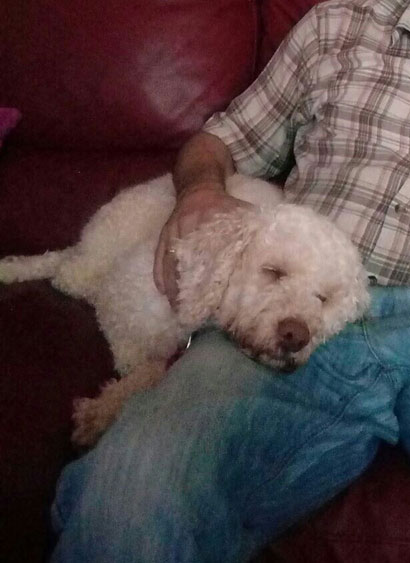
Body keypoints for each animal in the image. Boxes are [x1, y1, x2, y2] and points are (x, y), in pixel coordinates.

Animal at [0, 173, 369, 446]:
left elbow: (150, 372)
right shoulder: (118, 304)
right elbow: (135, 357)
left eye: (323, 297)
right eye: (273, 271)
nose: (296, 335)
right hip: (101, 249)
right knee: (65, 269)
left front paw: (103, 410)